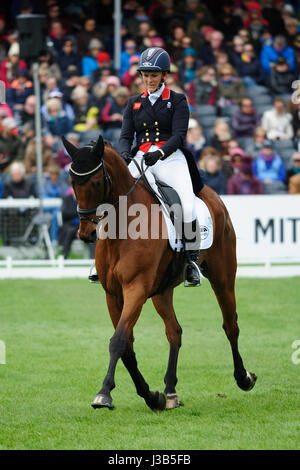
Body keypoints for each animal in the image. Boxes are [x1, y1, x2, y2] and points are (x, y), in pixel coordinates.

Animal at [62, 134, 255, 410]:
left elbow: (118, 341)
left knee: (230, 325)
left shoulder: (136, 289)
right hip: (162, 291)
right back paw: (170, 392)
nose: (85, 233)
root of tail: (213, 196)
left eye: (97, 182)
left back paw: (243, 378)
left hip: (223, 277)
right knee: (174, 332)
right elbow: (126, 346)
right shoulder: (114, 295)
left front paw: (104, 393)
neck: (123, 227)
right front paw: (152, 396)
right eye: (72, 182)